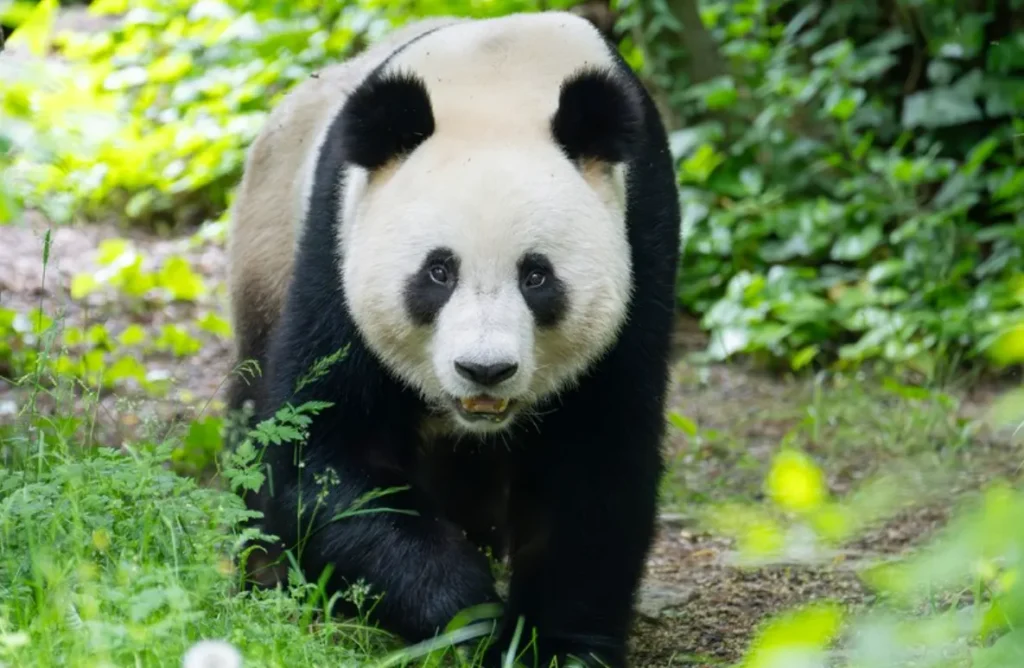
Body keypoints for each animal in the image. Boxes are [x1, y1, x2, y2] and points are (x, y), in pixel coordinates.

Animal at [225, 10, 681, 668]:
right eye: (438, 272)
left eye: (537, 276)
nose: (484, 370)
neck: (498, 79)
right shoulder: (336, 240)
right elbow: (325, 447)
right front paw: (466, 611)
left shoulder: (642, 239)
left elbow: (596, 467)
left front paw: (553, 645)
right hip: (268, 245)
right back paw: (266, 576)